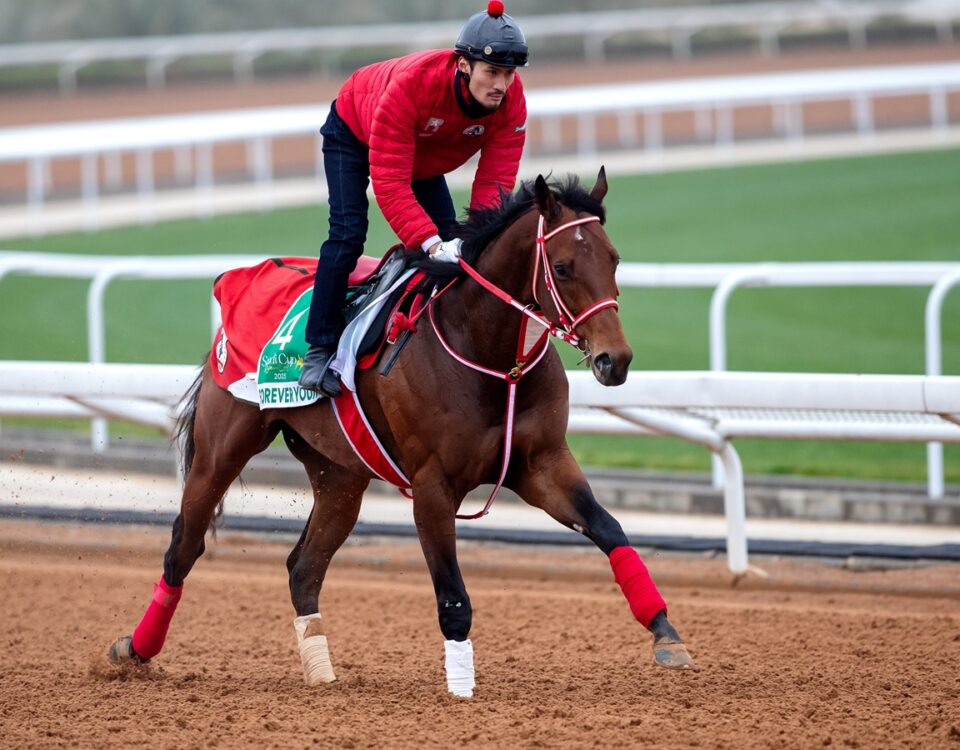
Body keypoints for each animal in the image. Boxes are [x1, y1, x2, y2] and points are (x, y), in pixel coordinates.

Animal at [109, 172, 692, 700]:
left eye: (614, 259)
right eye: (565, 267)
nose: (615, 360)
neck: (489, 357)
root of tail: (240, 278)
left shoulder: (542, 463)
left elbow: (610, 529)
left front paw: (666, 633)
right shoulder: (433, 486)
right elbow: (453, 595)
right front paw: (461, 689)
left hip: (339, 475)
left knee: (304, 567)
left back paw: (321, 673)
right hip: (222, 448)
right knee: (183, 548)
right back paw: (134, 649)